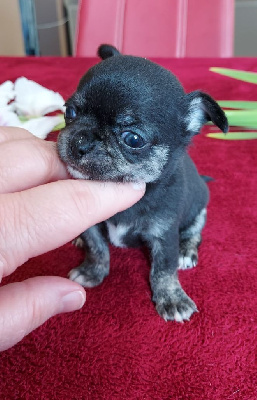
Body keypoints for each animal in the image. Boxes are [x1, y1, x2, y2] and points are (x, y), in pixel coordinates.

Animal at [57, 44, 227, 322]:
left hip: (199, 208)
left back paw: (186, 252)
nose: (79, 142)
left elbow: (164, 269)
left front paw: (172, 298)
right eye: (69, 112)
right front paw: (93, 270)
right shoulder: (92, 224)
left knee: (194, 231)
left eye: (133, 139)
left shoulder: (164, 235)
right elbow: (97, 247)